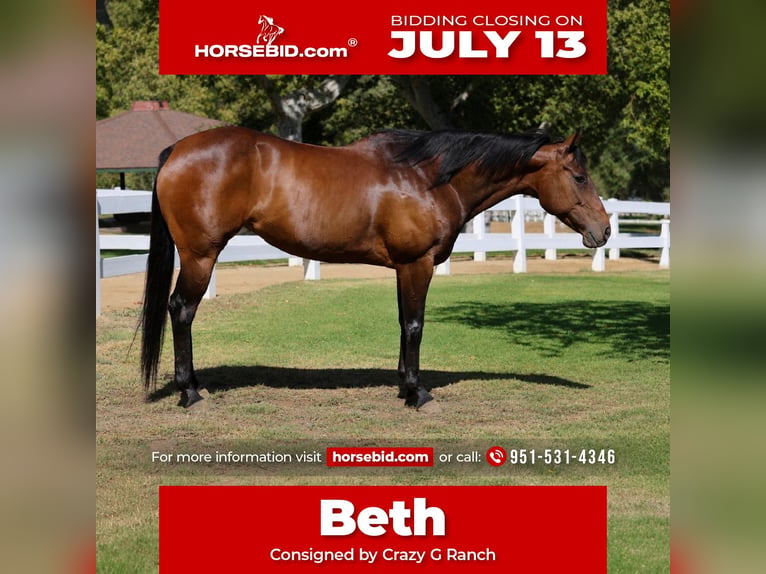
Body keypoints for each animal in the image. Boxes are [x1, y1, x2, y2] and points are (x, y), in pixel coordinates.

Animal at [139, 127, 611, 409]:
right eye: (580, 177)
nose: (604, 231)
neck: (429, 178)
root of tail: (176, 150)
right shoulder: (417, 264)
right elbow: (416, 325)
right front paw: (418, 394)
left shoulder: (405, 268)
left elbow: (404, 323)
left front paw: (404, 384)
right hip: (201, 255)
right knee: (181, 309)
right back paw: (190, 392)